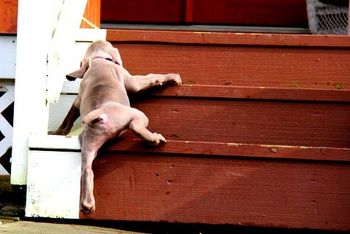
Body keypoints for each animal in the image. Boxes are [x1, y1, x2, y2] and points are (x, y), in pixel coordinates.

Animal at [51, 40, 183, 214]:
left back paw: (87, 204)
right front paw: (169, 78)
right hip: (134, 114)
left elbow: (69, 116)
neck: (98, 61)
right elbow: (150, 76)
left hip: (88, 144)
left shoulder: (78, 100)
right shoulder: (130, 80)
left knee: (86, 170)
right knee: (135, 126)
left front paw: (58, 131)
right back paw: (154, 139)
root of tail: (100, 115)